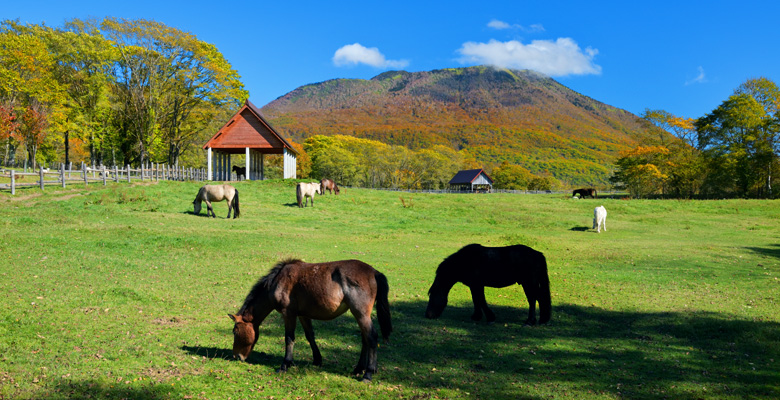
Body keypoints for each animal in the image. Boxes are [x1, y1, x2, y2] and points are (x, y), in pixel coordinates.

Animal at [229, 260, 394, 382]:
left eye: (235, 332)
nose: (236, 356)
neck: (279, 280)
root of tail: (374, 272)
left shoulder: (288, 314)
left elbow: (289, 338)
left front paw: (285, 364)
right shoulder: (303, 315)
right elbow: (310, 336)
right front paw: (317, 360)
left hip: (361, 314)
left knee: (371, 337)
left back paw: (368, 373)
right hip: (359, 315)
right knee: (365, 339)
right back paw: (359, 369)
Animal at [424, 244, 552, 324]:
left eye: (433, 295)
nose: (428, 315)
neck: (465, 261)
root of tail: (538, 254)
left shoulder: (477, 285)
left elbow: (481, 300)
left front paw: (490, 317)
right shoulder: (474, 285)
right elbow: (476, 300)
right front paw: (477, 316)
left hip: (529, 283)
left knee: (533, 299)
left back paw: (530, 321)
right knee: (540, 299)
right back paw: (543, 320)